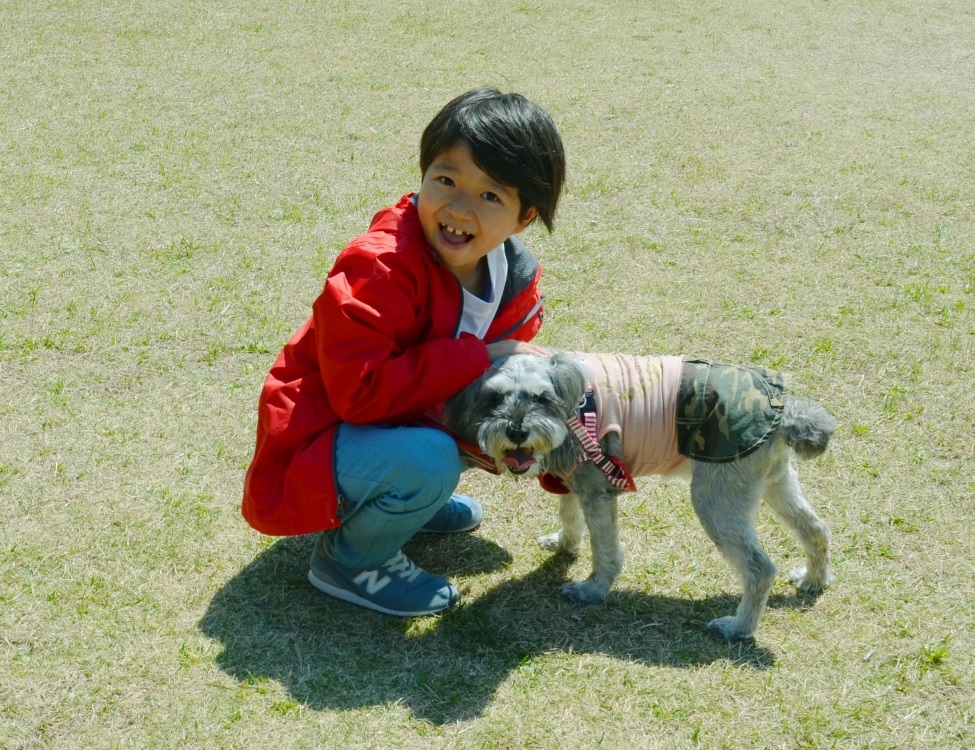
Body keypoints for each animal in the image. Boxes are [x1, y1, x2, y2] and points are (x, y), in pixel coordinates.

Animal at [446, 352, 836, 640]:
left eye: (542, 397)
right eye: (494, 398)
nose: (516, 431)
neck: (575, 409)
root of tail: (784, 411)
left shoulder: (599, 491)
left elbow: (604, 550)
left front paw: (593, 589)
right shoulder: (573, 479)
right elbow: (569, 516)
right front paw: (563, 544)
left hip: (716, 500)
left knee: (759, 568)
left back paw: (738, 628)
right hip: (774, 483)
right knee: (816, 529)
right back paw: (813, 580)